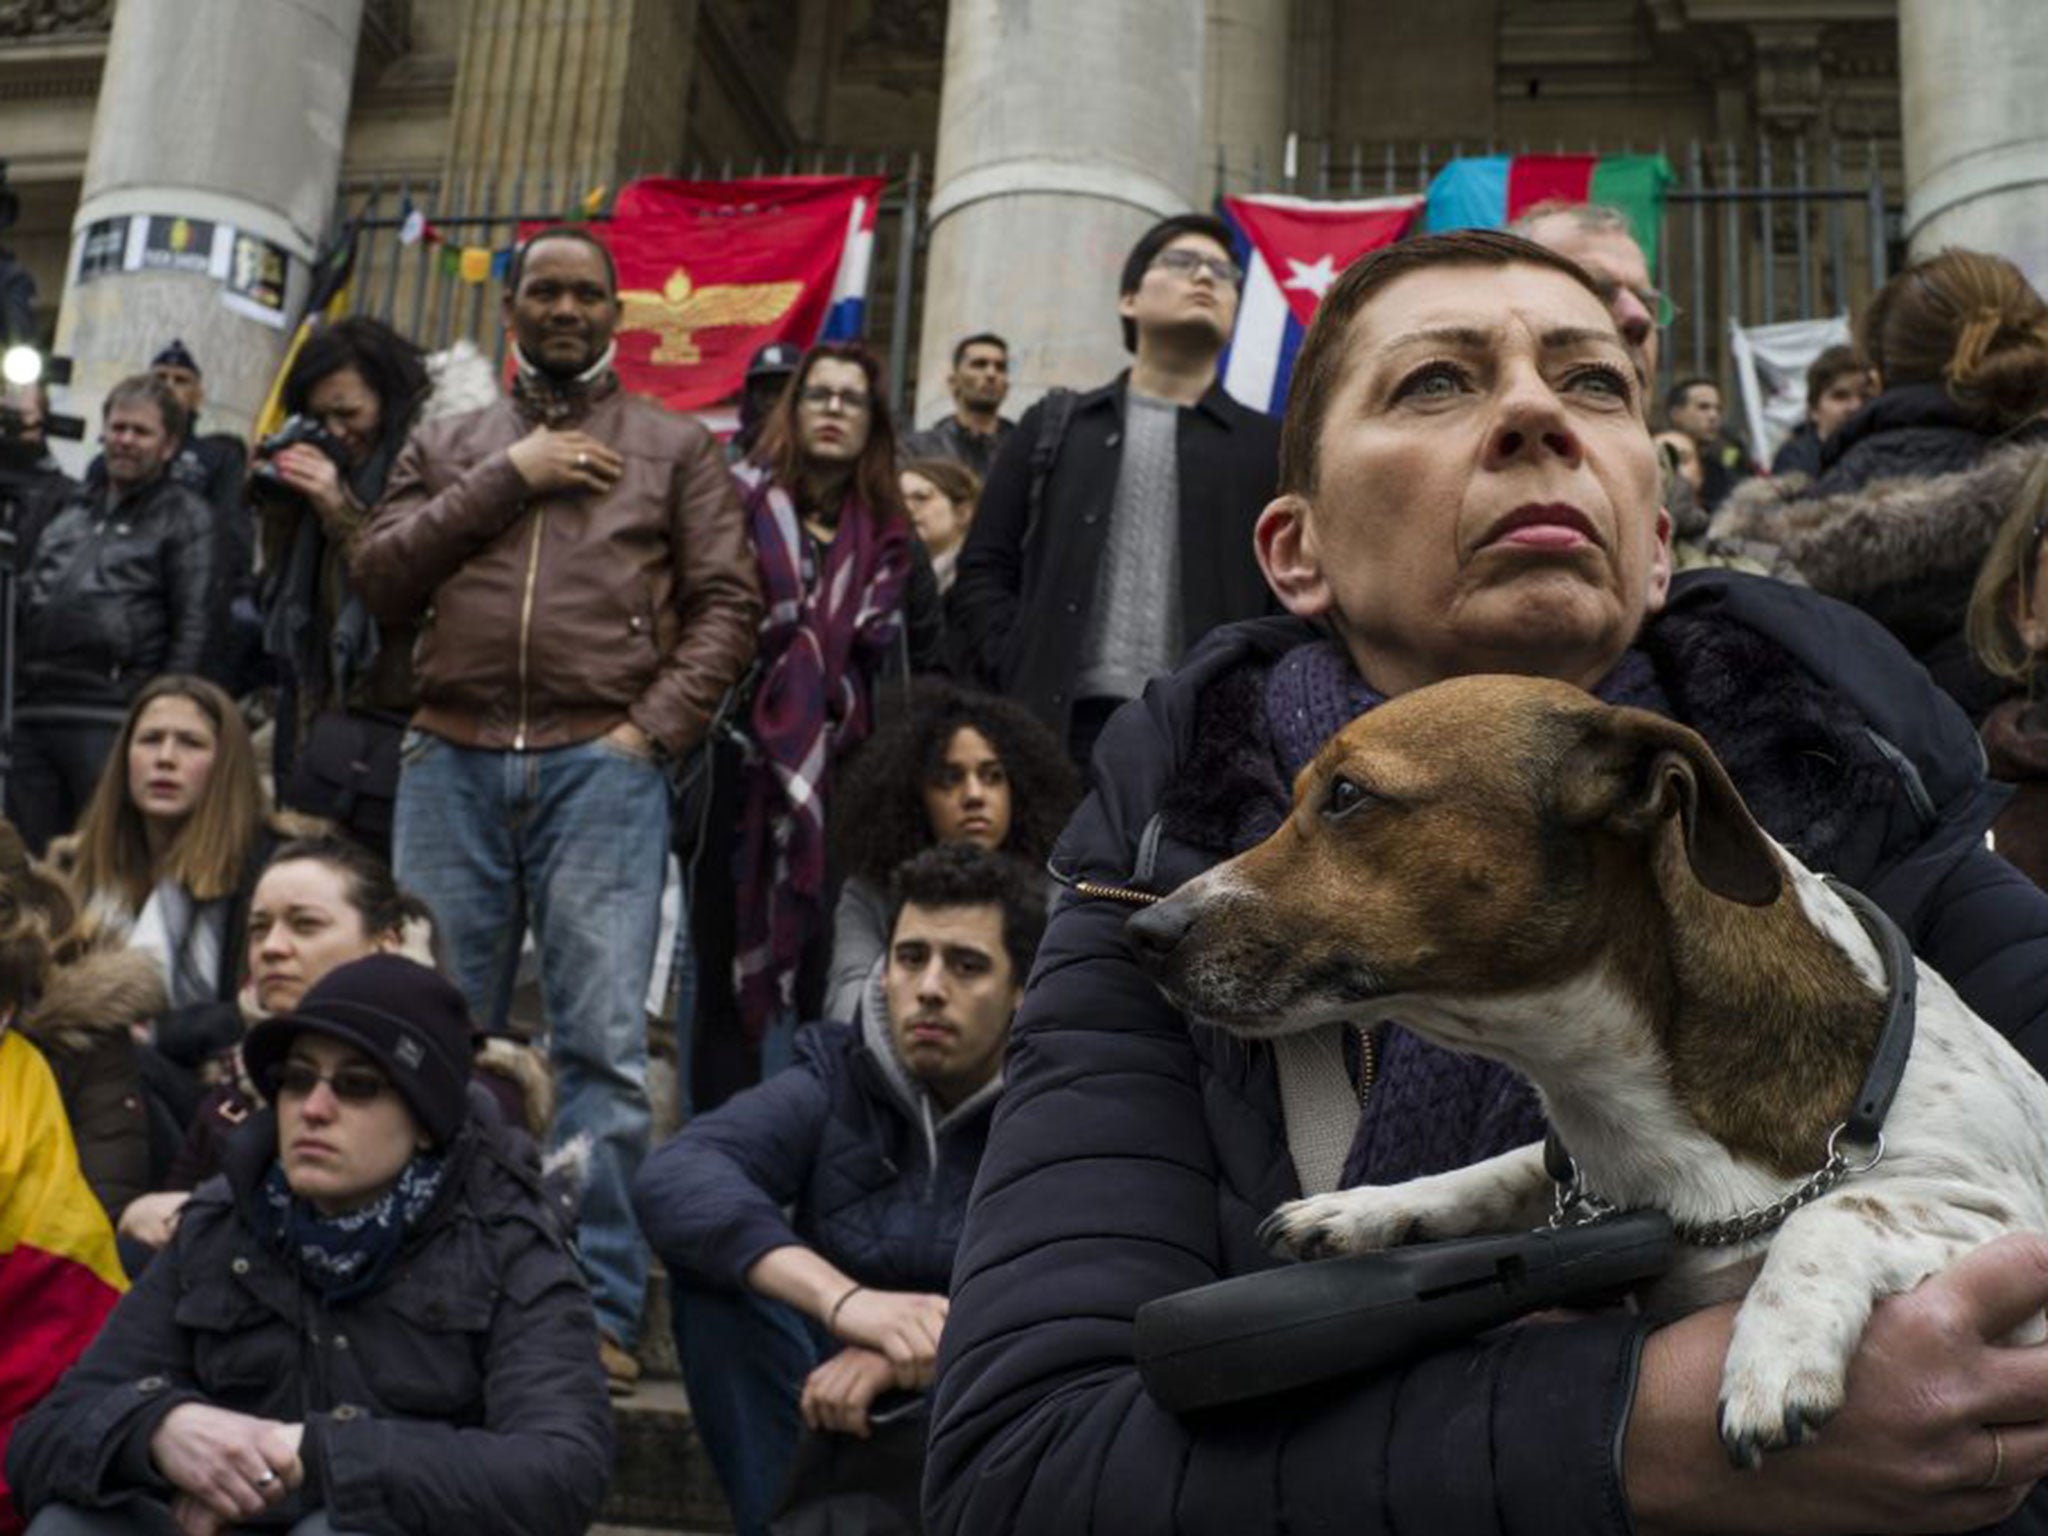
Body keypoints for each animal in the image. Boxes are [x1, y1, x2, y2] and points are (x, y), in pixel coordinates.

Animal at [1122, 675, 2048, 1466]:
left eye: (1347, 795)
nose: (1143, 932)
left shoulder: (1997, 1229)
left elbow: (1841, 1211)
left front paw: (1774, 1356)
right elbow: (1503, 1168)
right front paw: (1369, 1210)